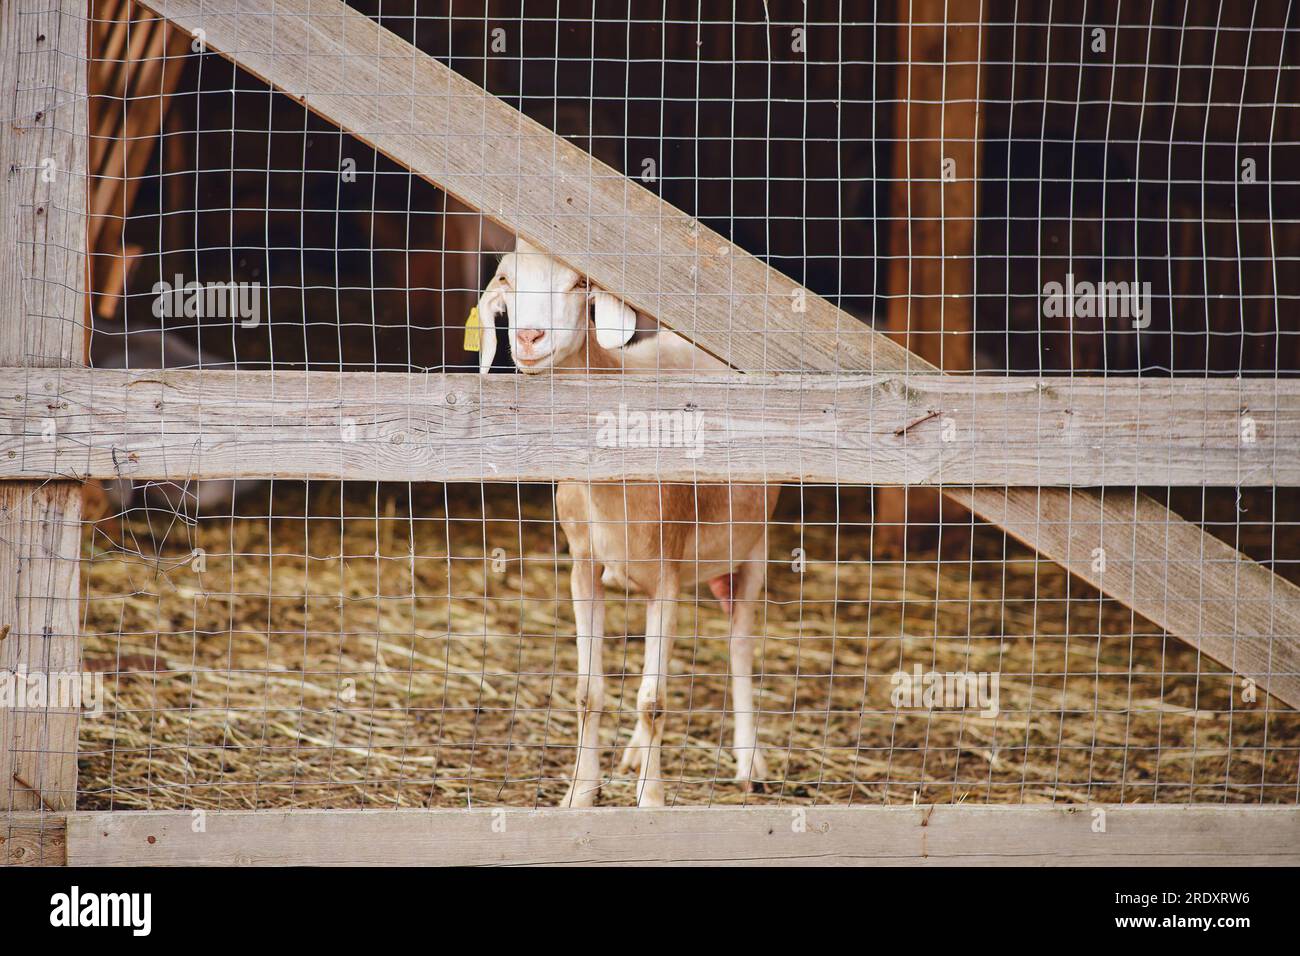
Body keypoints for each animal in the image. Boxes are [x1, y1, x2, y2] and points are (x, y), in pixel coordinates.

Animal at [475, 240, 780, 807]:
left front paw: (651, 802)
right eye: (505, 279)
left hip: (753, 548)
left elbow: (653, 700)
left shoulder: (666, 572)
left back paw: (749, 762)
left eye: (580, 284)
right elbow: (588, 693)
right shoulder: (584, 568)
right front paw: (579, 794)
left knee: (740, 643)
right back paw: (637, 754)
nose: (529, 337)